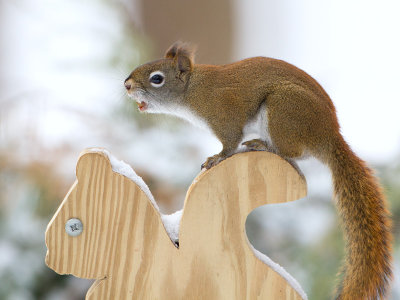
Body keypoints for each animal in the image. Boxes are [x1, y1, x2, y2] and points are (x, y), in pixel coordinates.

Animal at [124, 41, 390, 298]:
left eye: (156, 78)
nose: (126, 85)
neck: (193, 89)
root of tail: (329, 136)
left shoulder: (225, 117)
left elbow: (230, 143)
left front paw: (217, 157)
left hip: (284, 110)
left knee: (290, 151)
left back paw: (262, 144)